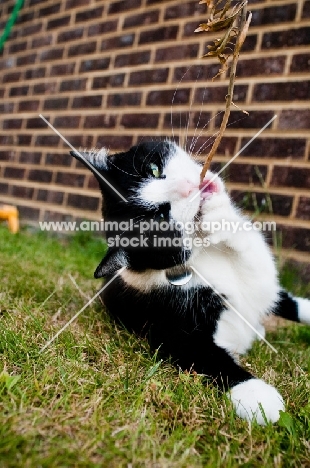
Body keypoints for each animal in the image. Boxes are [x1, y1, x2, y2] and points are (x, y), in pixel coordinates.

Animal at [70, 139, 310, 424]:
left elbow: (273, 291)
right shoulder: (170, 327)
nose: (187, 188)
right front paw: (259, 399)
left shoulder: (258, 281)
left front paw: (218, 215)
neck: (207, 255)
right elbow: (203, 354)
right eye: (160, 220)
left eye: (153, 169)